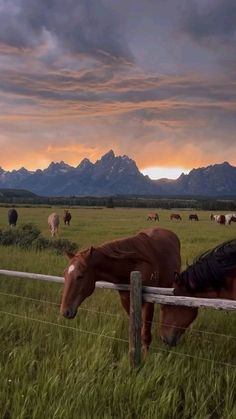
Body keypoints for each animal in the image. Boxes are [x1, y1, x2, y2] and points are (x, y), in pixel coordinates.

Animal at [59, 228, 181, 356]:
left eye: (80, 276)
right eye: (65, 274)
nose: (65, 311)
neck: (132, 266)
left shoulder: (148, 302)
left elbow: (145, 334)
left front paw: (146, 357)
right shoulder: (126, 300)